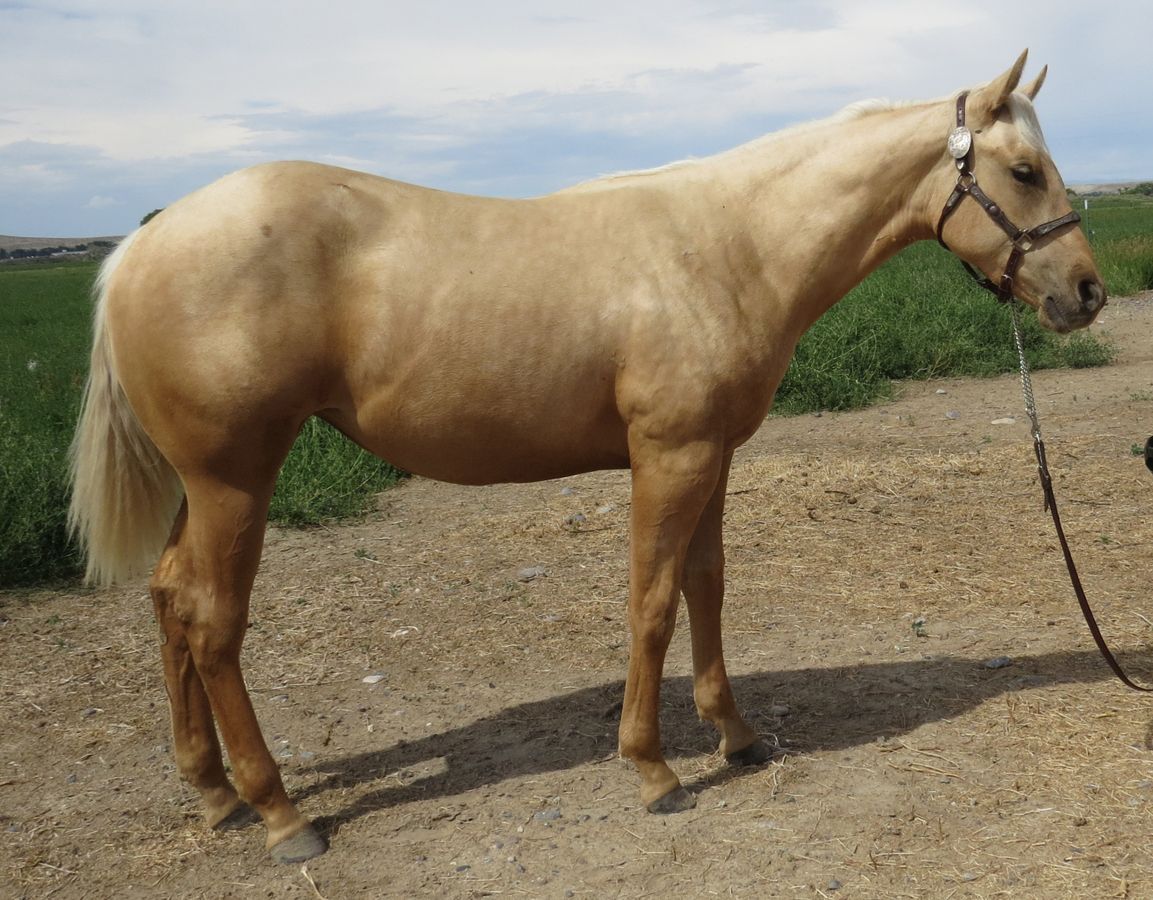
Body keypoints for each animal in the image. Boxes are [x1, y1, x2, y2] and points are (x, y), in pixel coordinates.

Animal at [69, 51, 1105, 863]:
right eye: (1022, 170)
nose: (1086, 292)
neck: (728, 244)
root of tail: (139, 247)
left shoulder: (712, 457)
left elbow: (705, 585)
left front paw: (735, 735)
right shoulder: (669, 458)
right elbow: (651, 601)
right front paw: (652, 769)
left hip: (200, 489)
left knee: (168, 600)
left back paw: (213, 792)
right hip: (234, 481)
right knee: (212, 623)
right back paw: (282, 814)